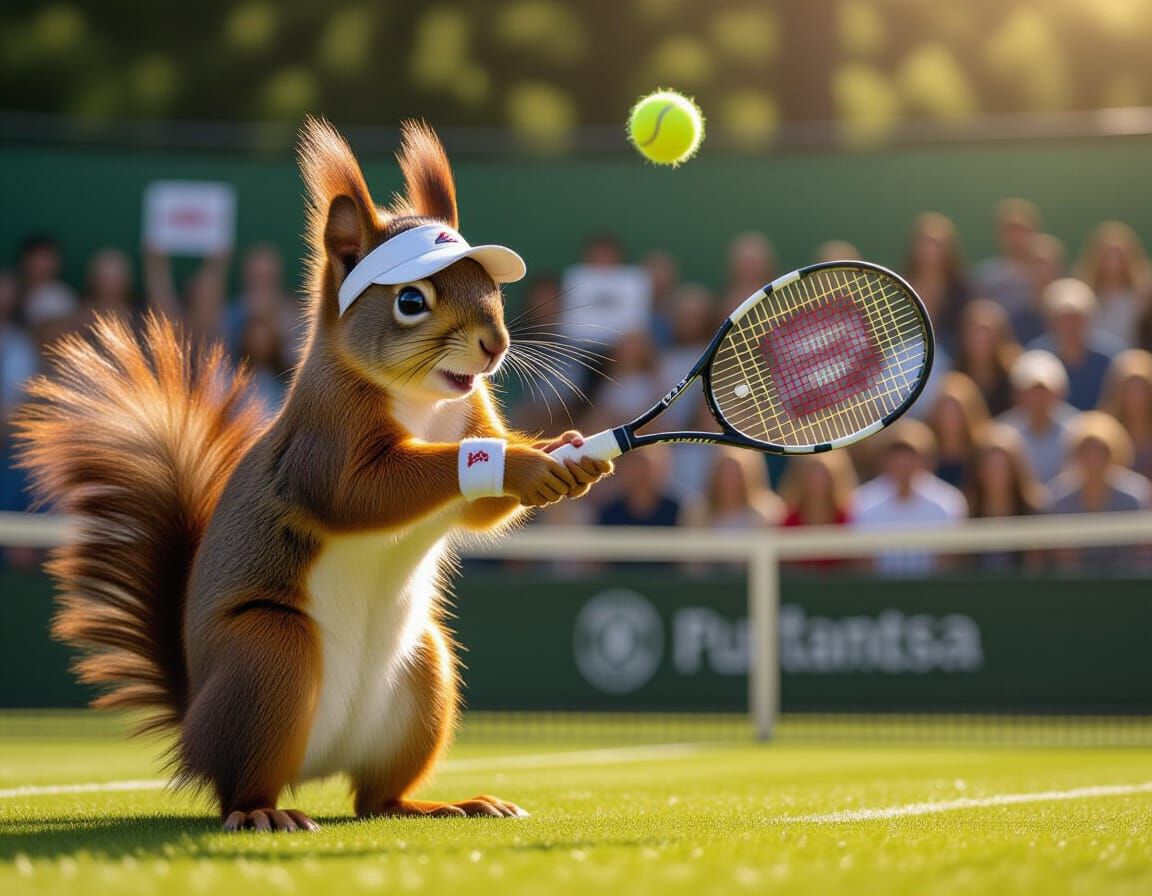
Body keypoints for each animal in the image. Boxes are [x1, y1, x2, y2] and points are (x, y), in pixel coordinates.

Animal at [16, 117, 612, 832]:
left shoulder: (473, 417)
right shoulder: (322, 446)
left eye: (493, 286)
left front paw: (567, 454)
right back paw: (262, 814)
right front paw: (529, 465)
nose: (494, 345)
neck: (424, 401)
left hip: (426, 674)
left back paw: (445, 802)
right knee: (242, 782)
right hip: (271, 653)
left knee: (376, 797)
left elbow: (479, 509)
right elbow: (362, 494)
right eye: (411, 300)